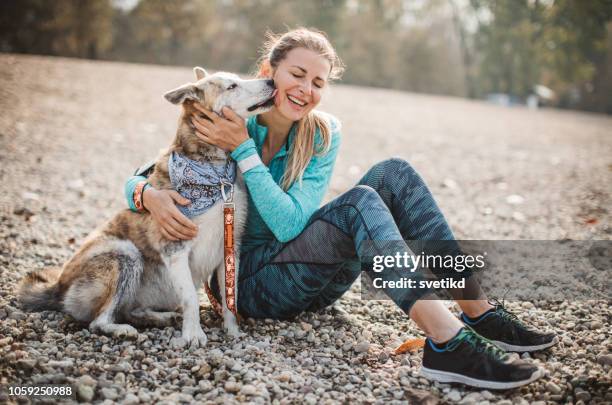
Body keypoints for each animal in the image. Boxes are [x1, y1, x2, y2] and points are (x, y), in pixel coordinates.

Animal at [18, 67, 278, 348]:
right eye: (232, 86)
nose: (272, 81)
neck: (215, 173)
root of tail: (57, 287)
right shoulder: (175, 248)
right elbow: (191, 298)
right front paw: (193, 334)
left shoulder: (230, 248)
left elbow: (232, 298)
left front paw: (232, 331)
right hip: (125, 254)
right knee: (99, 320)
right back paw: (122, 330)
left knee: (130, 310)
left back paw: (160, 317)